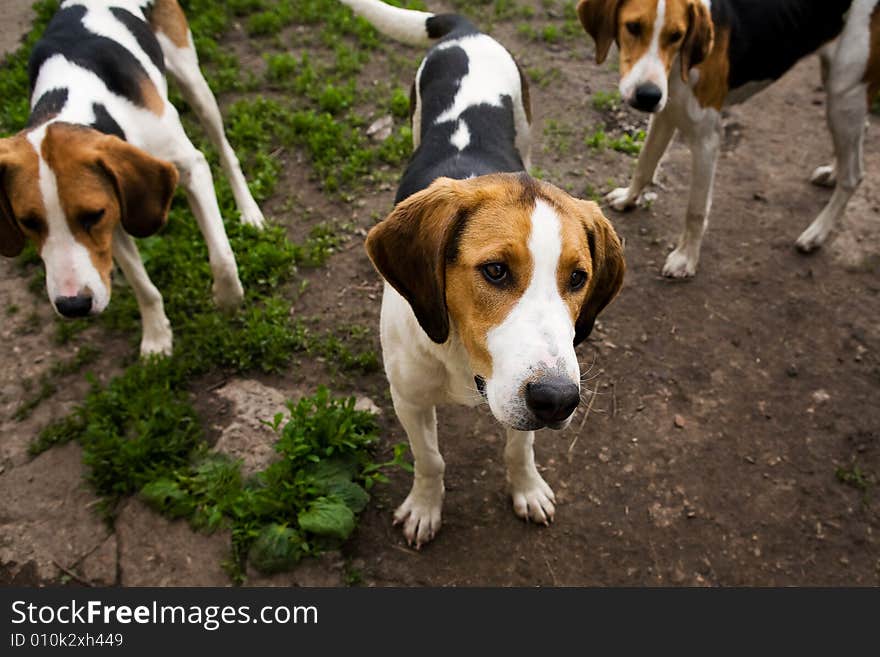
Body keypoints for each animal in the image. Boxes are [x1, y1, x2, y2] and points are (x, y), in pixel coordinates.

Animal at [0, 0, 264, 356]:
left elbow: (221, 257)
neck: (80, 100)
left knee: (224, 150)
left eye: (91, 215)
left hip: (193, 81)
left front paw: (228, 299)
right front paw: (156, 337)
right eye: (28, 222)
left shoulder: (189, 169)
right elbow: (144, 287)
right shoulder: (113, 215)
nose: (73, 306)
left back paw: (249, 211)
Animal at [338, 0, 624, 544]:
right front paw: (424, 506)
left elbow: (519, 447)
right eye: (494, 271)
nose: (559, 400)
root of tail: (466, 31)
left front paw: (527, 488)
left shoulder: (519, 402)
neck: (462, 357)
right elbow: (430, 460)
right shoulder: (408, 399)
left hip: (526, 125)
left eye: (578, 278)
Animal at [576, 0, 880, 276]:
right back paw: (832, 172)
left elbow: (695, 209)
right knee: (855, 140)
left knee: (855, 176)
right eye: (633, 27)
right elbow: (644, 164)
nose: (648, 96)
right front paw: (629, 198)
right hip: (840, 94)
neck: (680, 65)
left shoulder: (707, 141)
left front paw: (686, 258)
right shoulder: (664, 116)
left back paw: (816, 233)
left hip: (844, 93)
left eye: (676, 36)